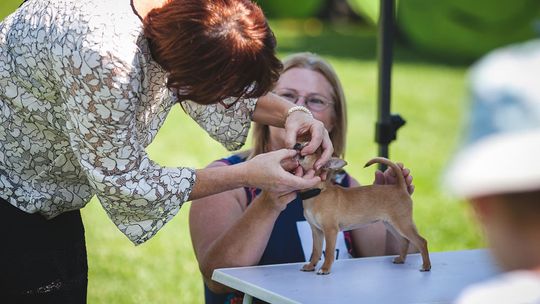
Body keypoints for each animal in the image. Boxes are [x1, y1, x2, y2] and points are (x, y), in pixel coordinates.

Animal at [296, 148, 430, 274]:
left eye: (311, 150)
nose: (297, 145)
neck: (316, 192)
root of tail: (400, 187)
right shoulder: (316, 231)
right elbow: (316, 251)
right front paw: (311, 266)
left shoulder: (330, 230)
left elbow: (329, 252)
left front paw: (325, 269)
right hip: (391, 224)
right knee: (404, 241)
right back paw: (401, 259)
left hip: (403, 223)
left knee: (421, 241)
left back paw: (426, 266)